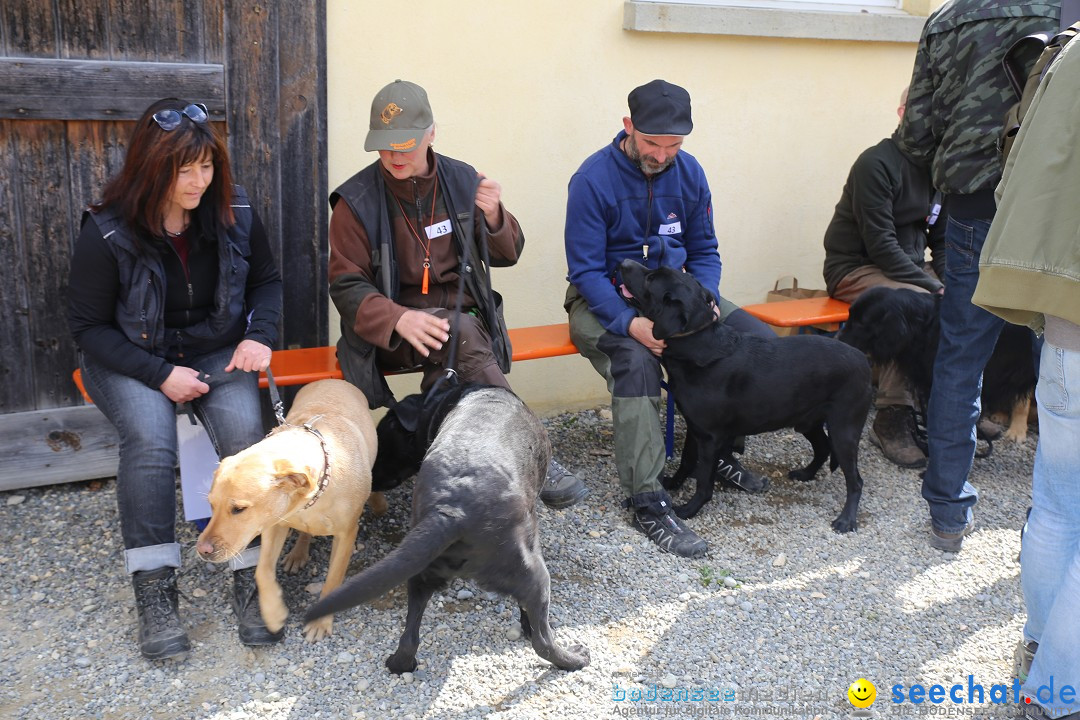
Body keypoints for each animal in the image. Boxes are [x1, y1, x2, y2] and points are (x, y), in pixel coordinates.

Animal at [196, 377, 386, 643]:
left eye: (239, 509)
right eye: (211, 505)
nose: (202, 550)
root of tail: (331, 379)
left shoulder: (346, 534)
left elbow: (332, 580)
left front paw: (319, 621)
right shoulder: (274, 525)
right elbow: (262, 572)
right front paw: (273, 613)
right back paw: (298, 553)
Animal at [304, 382, 591, 677]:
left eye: (385, 442)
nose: (371, 479)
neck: (447, 398)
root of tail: (450, 511)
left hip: (419, 574)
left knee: (409, 638)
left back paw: (398, 664)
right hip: (534, 575)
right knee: (541, 638)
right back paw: (574, 658)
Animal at [622, 262, 872, 533]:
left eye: (650, 278)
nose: (624, 263)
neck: (697, 343)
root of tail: (863, 360)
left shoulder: (709, 437)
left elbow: (704, 481)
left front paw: (689, 509)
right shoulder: (695, 427)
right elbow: (687, 461)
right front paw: (673, 484)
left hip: (843, 430)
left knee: (856, 480)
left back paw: (846, 520)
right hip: (808, 420)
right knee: (823, 448)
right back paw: (806, 474)